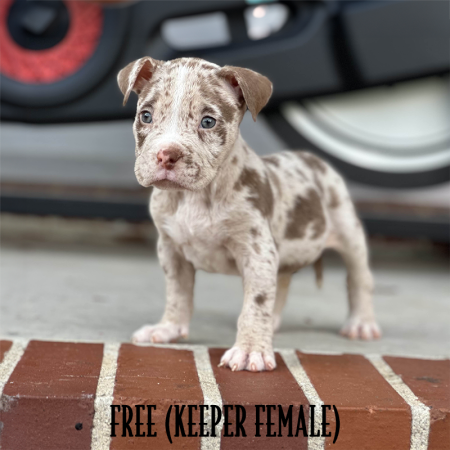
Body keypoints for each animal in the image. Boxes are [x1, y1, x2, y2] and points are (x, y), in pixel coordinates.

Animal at [116, 56, 380, 370]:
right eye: (146, 116)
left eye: (208, 122)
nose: (166, 155)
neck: (197, 197)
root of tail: (312, 159)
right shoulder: (171, 250)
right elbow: (178, 294)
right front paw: (169, 328)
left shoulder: (256, 251)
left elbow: (256, 302)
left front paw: (250, 349)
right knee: (283, 282)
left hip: (348, 231)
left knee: (359, 279)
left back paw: (362, 323)